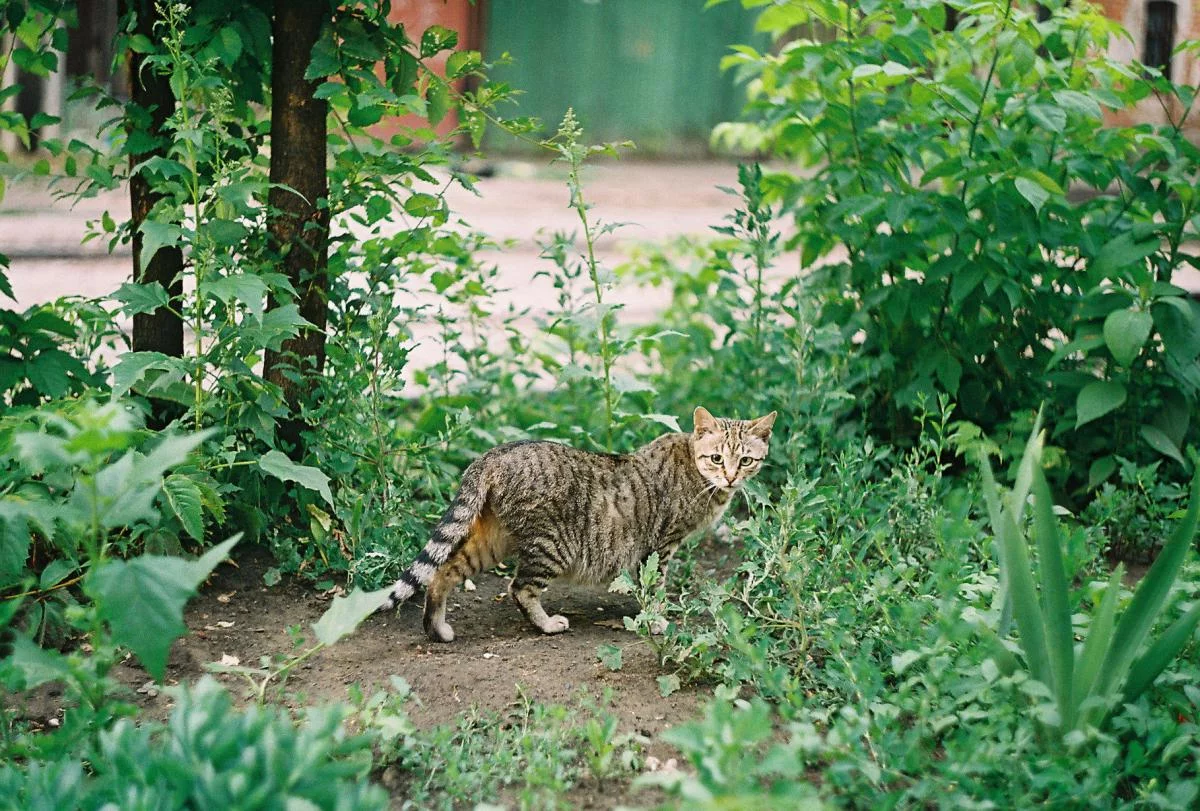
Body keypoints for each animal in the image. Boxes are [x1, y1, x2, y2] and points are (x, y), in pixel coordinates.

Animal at [379, 406, 776, 642]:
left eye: (745, 460)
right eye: (716, 458)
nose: (730, 477)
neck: (698, 475)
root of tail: (493, 455)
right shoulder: (661, 546)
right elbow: (655, 588)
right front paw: (657, 620)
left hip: (491, 541)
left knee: (442, 571)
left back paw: (437, 628)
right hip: (552, 546)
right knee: (519, 587)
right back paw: (546, 624)